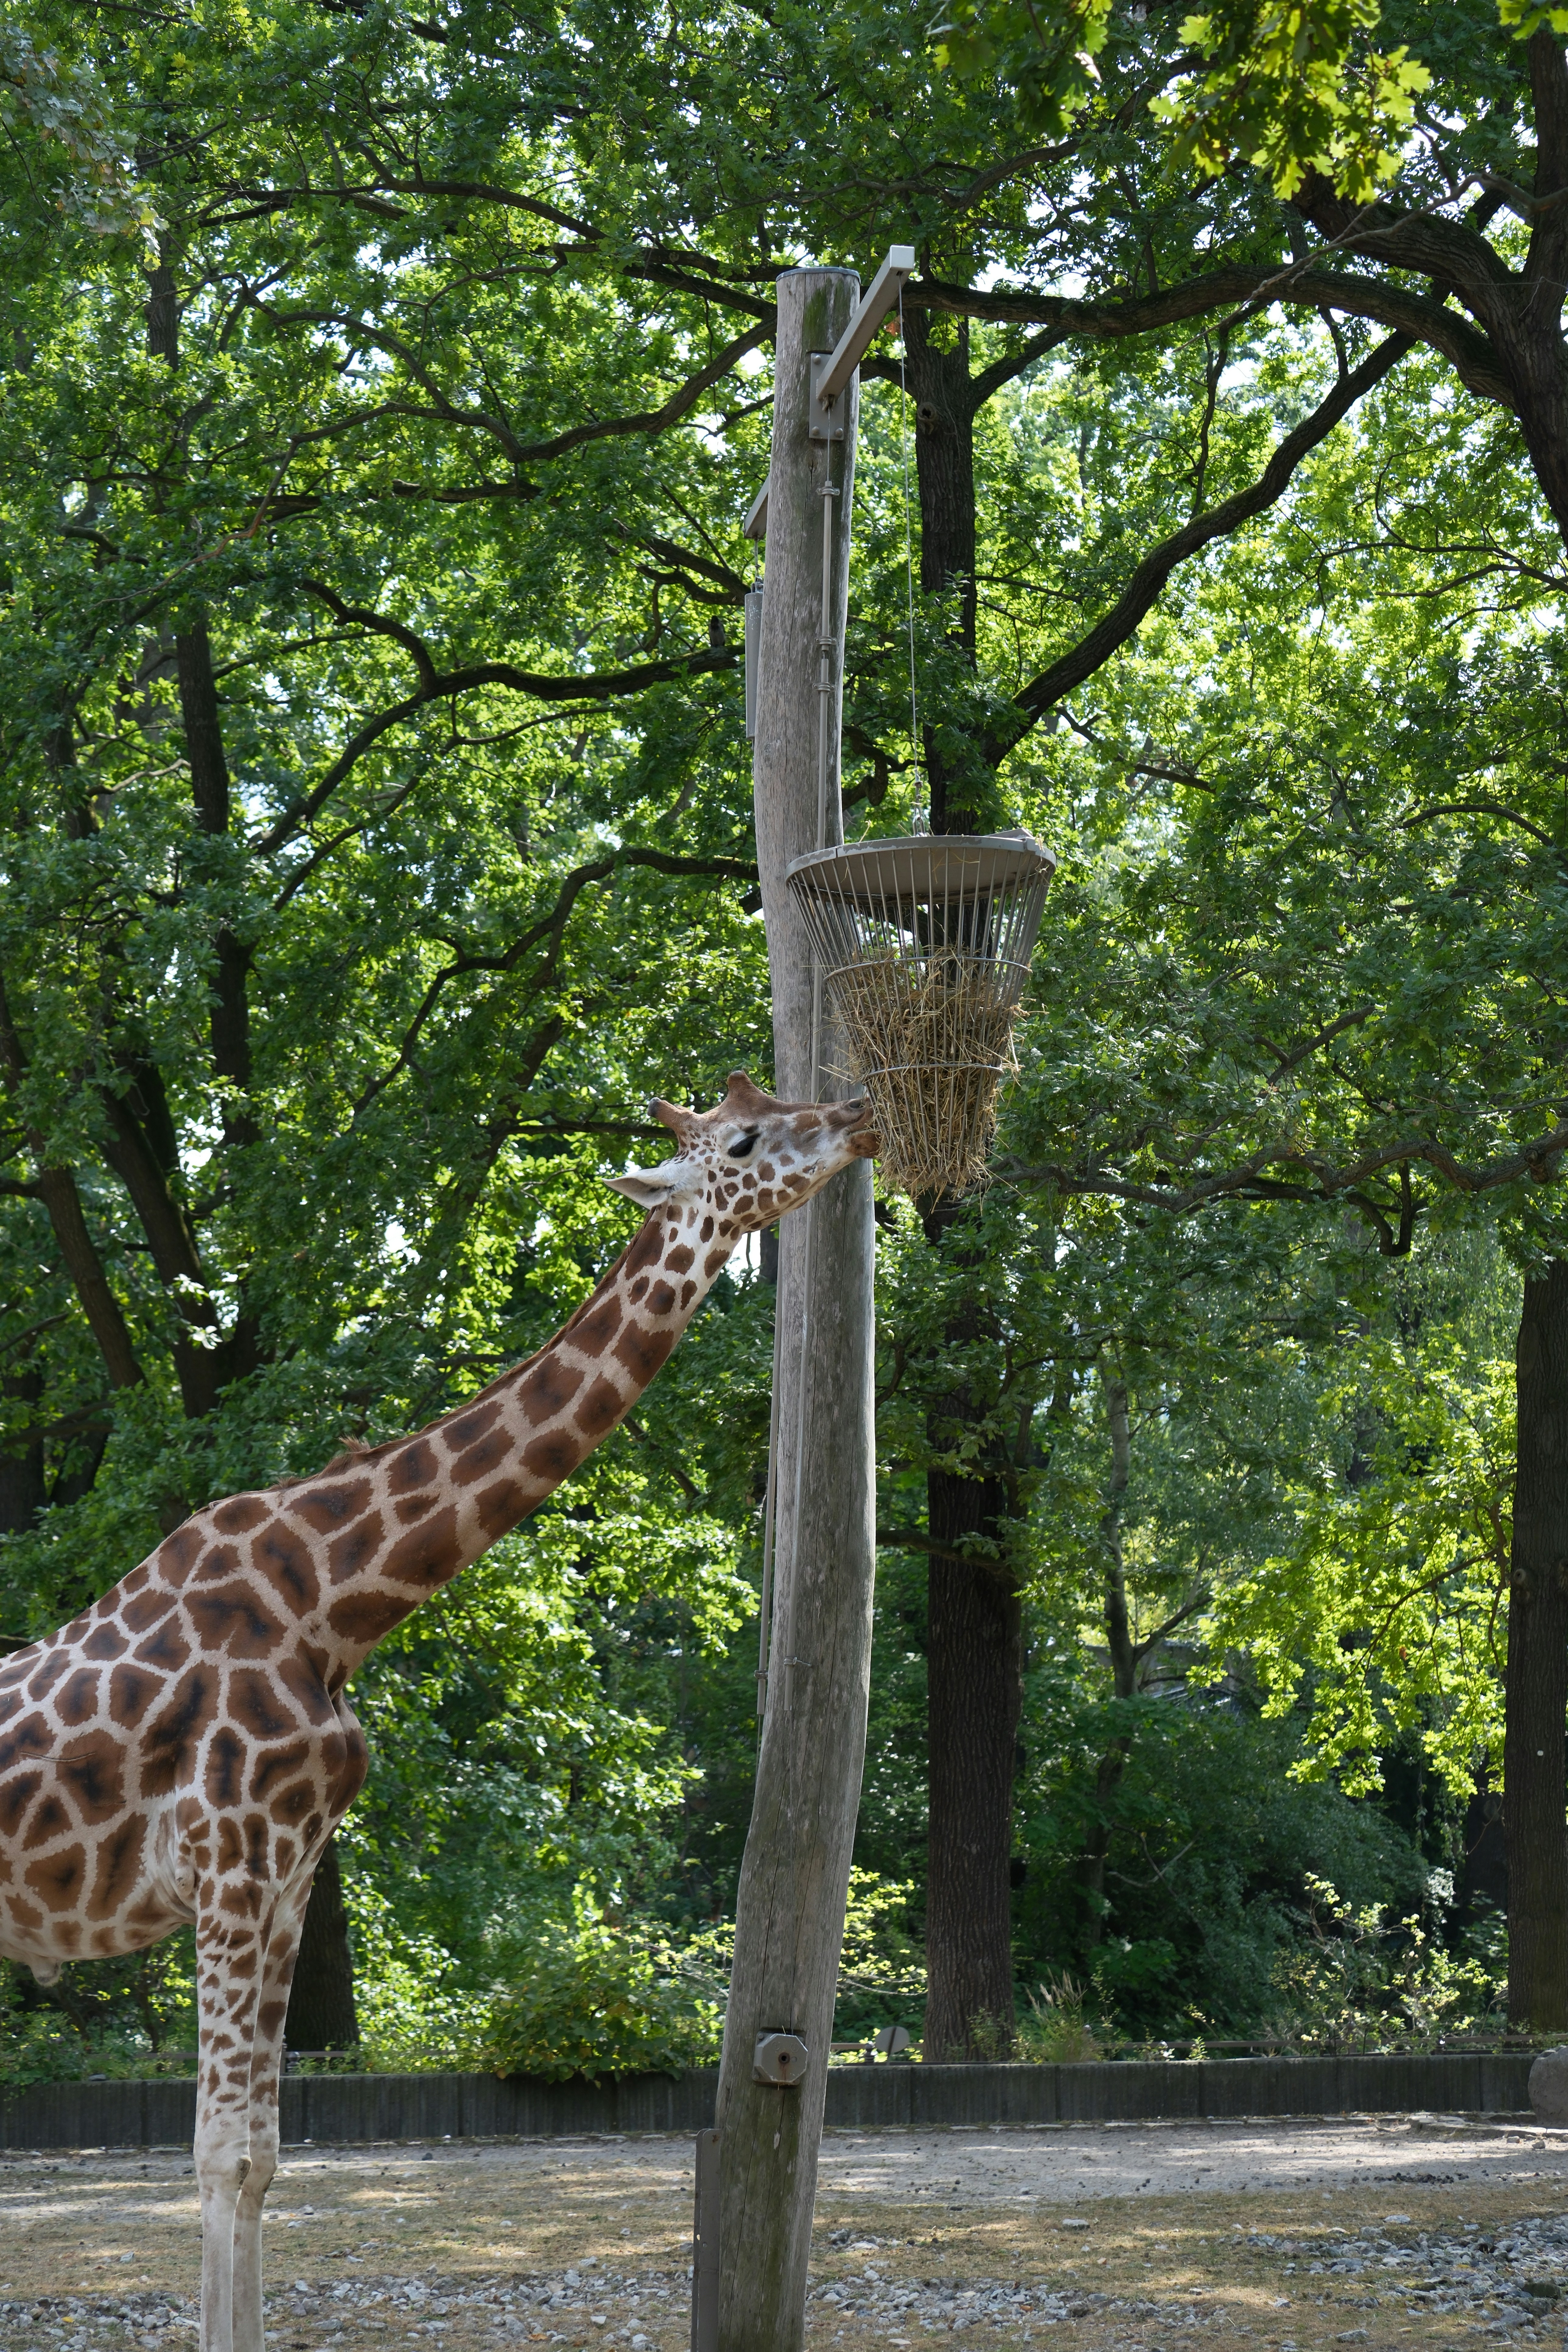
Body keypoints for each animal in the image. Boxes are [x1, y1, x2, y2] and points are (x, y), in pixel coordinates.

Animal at [0, 1070, 874, 2352]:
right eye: (745, 1138)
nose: (859, 1113)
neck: (336, 1603)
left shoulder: (288, 1872)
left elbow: (259, 2157)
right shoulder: (232, 1861)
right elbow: (219, 2156)